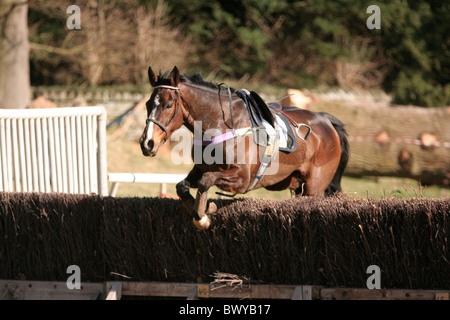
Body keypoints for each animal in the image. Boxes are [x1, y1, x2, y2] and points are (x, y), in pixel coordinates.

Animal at [139, 65, 350, 230]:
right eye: (148, 104)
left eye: (168, 105)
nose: (147, 143)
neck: (218, 123)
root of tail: (326, 119)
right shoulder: (200, 169)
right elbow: (182, 186)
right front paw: (202, 210)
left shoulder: (242, 178)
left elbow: (206, 181)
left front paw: (204, 214)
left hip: (314, 187)